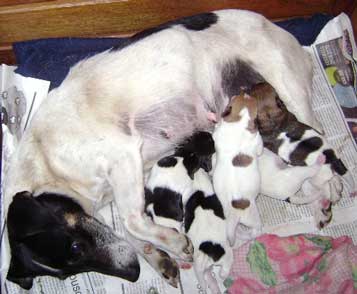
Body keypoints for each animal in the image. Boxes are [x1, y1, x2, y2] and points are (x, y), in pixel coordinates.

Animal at [211, 92, 262, 246]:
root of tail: (236, 215)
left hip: (227, 220)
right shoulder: (257, 140)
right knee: (256, 230)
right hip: (254, 218)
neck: (240, 119)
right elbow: (260, 148)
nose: (245, 92)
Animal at [252, 82, 352, 227]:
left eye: (252, 91)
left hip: (310, 176)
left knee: (325, 188)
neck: (274, 122)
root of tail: (330, 159)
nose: (257, 82)